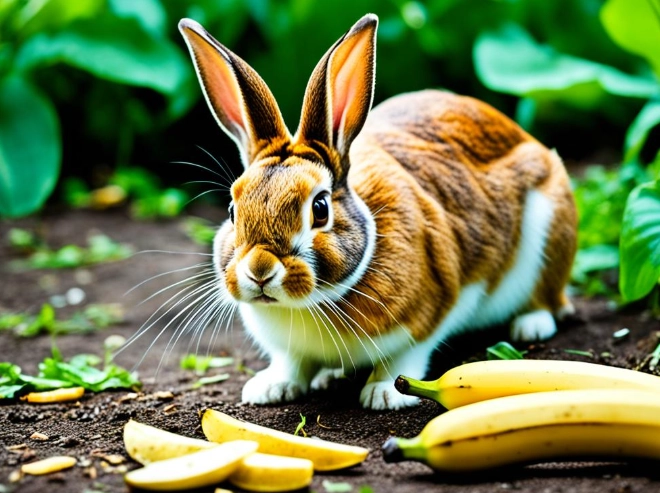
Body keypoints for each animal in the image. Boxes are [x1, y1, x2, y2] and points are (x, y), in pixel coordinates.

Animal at [177, 13, 577, 410]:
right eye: (233, 209)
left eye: (319, 208)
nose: (259, 270)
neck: (309, 304)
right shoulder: (291, 350)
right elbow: (293, 363)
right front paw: (270, 388)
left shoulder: (430, 312)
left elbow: (405, 357)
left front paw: (384, 394)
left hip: (550, 237)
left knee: (548, 299)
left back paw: (530, 324)